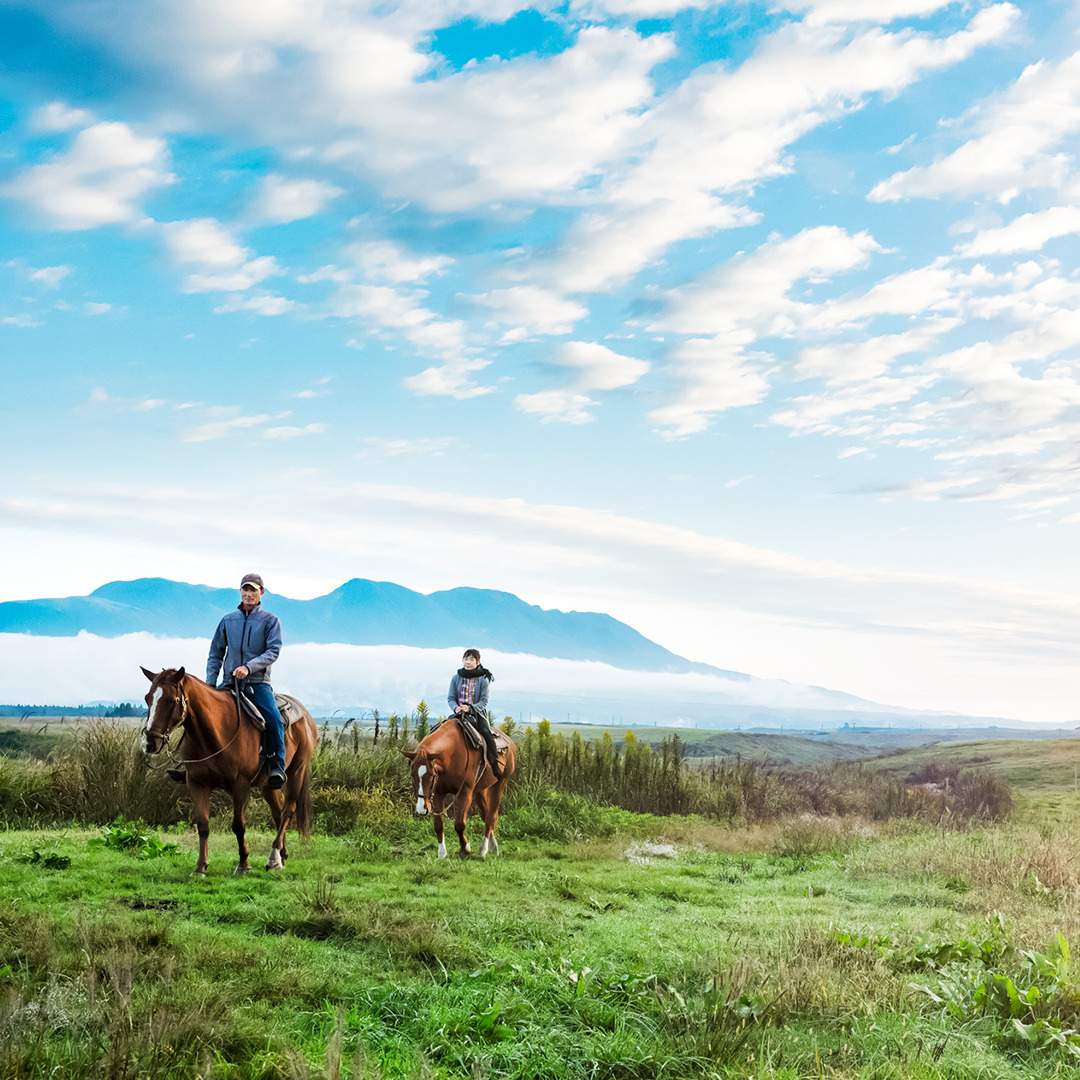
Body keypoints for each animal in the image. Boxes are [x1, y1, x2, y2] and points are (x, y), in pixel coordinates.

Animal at [142, 665, 315, 876]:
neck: (215, 732)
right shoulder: (197, 783)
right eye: (147, 698)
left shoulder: (240, 785)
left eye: (171, 700)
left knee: (287, 810)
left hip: (297, 771)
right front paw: (200, 867)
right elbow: (203, 825)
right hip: (268, 785)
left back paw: (274, 857)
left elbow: (239, 826)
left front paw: (243, 864)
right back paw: (282, 857)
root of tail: (304, 713)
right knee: (278, 812)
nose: (150, 742)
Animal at [406, 717, 514, 859]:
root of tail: (510, 742)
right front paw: (442, 853)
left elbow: (459, 824)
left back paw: (483, 849)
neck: (451, 755)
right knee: (485, 815)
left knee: (490, 816)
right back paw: (493, 847)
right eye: (412, 774)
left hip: (500, 784)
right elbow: (438, 825)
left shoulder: (465, 793)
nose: (421, 810)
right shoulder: (438, 794)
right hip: (480, 790)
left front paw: (465, 848)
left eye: (431, 775)